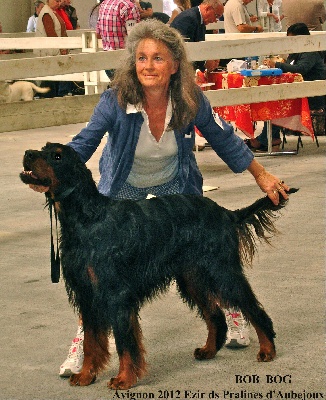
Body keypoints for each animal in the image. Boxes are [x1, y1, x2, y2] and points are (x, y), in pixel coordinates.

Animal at [19, 143, 296, 390]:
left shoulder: (116, 294)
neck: (88, 218)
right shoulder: (87, 293)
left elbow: (124, 341)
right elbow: (91, 342)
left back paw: (267, 349)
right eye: (43, 148)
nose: (28, 153)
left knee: (252, 307)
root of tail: (226, 213)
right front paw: (86, 375)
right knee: (215, 314)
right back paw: (208, 350)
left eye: (56, 155)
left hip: (221, 270)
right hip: (192, 277)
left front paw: (124, 379)